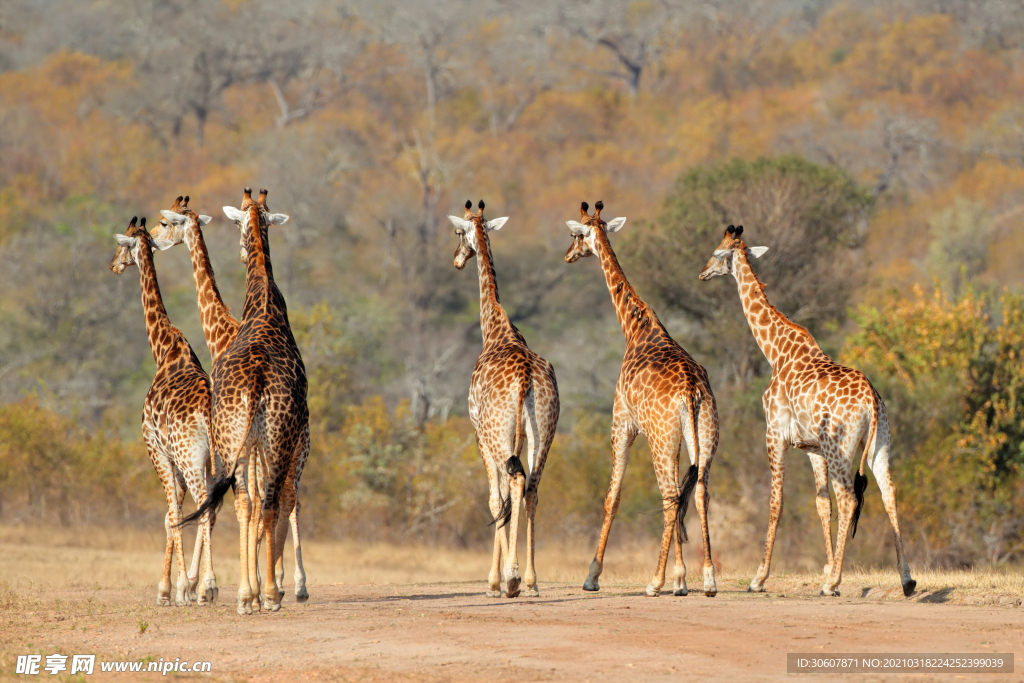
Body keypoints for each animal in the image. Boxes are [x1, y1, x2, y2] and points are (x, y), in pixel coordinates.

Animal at [110, 216, 218, 606]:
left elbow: (172, 515)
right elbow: (175, 514)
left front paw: (173, 590)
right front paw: (175, 587)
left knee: (203, 505)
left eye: (123, 244)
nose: (113, 265)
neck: (163, 348)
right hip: (217, 458)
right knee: (212, 506)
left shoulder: (157, 449)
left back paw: (206, 587)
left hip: (190, 457)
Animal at [149, 194, 305, 602]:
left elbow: (232, 503)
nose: (153, 240)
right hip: (289, 440)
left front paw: (200, 585)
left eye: (165, 223)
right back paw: (290, 585)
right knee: (286, 496)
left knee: (248, 500)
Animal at [448, 198, 561, 598]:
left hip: (497, 435)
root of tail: (525, 377)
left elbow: (495, 498)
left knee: (512, 484)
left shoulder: (479, 433)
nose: (456, 260)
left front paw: (493, 582)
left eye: (458, 231)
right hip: (544, 431)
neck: (495, 328)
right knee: (532, 487)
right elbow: (516, 497)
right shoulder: (522, 435)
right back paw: (531, 581)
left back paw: (510, 579)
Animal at [561, 200, 720, 593]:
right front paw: (682, 579)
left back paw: (655, 581)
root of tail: (692, 391)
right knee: (698, 492)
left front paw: (592, 575)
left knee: (670, 495)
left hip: (660, 439)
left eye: (575, 234)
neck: (634, 327)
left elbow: (612, 496)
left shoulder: (622, 423)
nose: (569, 255)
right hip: (702, 434)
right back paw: (708, 578)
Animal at [700, 225, 917, 598]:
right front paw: (825, 569)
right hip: (879, 444)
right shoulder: (812, 448)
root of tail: (871, 401)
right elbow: (821, 504)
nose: (702, 273)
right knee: (888, 492)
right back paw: (906, 579)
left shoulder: (774, 433)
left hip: (840, 447)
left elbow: (777, 501)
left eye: (716, 253)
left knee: (849, 498)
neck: (776, 350)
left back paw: (834, 584)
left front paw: (760, 578)